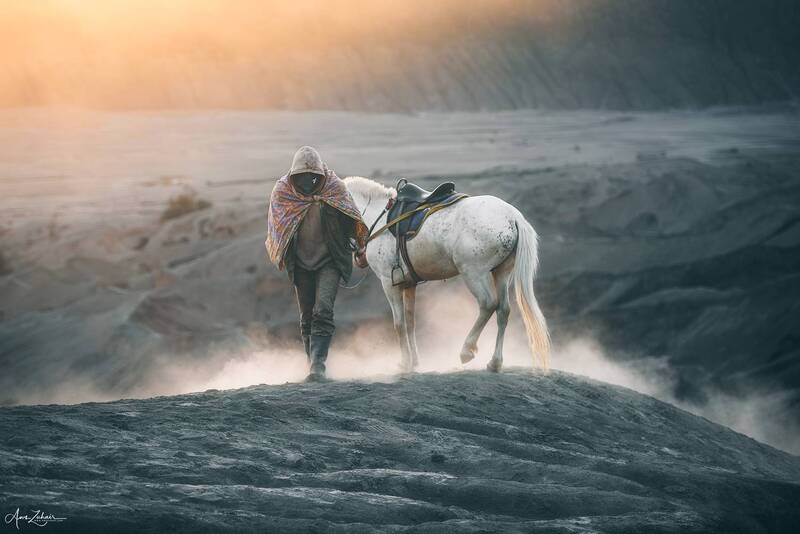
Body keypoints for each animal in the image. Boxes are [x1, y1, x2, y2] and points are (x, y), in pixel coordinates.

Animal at [344, 176, 550, 373]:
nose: (357, 255)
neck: (378, 216)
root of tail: (513, 217)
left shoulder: (389, 282)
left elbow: (399, 324)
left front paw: (404, 363)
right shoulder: (409, 284)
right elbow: (410, 322)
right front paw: (414, 362)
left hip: (473, 273)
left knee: (488, 304)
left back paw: (467, 350)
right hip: (501, 273)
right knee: (504, 310)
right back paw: (495, 363)